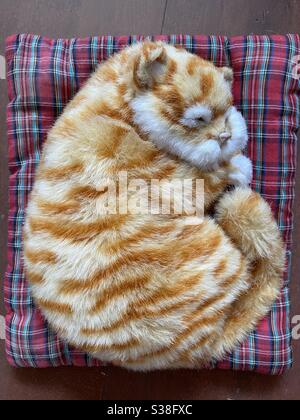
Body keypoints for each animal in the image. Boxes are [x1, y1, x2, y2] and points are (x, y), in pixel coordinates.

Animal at [22, 41, 284, 370]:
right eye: (199, 119)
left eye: (226, 113)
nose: (226, 136)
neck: (114, 110)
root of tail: (204, 348)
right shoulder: (170, 181)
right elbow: (207, 174)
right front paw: (239, 166)